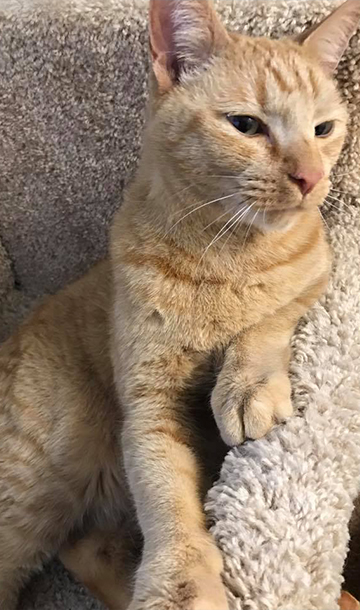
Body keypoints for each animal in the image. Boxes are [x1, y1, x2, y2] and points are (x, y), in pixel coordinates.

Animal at [0, 1, 360, 608]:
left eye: (324, 129)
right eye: (246, 125)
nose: (311, 178)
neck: (227, 256)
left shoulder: (318, 273)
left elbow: (271, 318)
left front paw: (247, 383)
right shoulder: (151, 406)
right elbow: (167, 500)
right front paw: (182, 581)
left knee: (84, 546)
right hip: (30, 491)